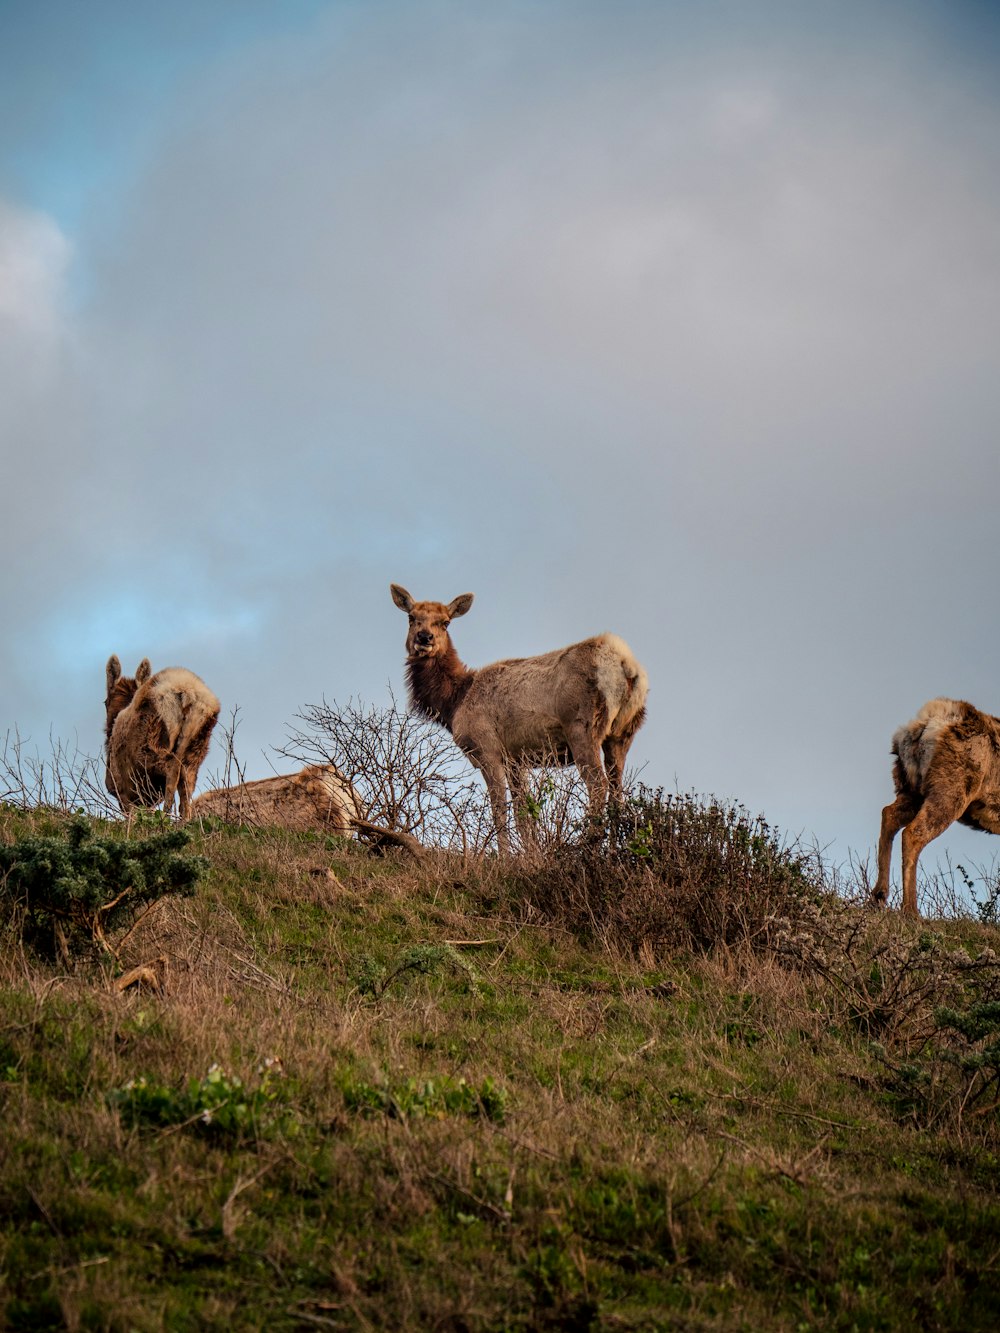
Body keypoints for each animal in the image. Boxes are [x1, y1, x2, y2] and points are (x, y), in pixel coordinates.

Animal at [104, 655, 220, 821]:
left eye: (105, 702)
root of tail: (188, 694)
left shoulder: (122, 790)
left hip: (152, 745)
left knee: (171, 773)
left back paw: (165, 817)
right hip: (196, 752)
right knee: (186, 793)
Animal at [392, 583, 650, 853]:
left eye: (445, 622)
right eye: (412, 617)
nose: (424, 637)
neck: (454, 703)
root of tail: (626, 666)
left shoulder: (487, 748)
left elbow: (499, 811)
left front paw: (503, 856)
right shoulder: (516, 760)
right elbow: (523, 816)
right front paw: (531, 854)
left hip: (582, 727)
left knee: (598, 785)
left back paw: (588, 846)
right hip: (622, 734)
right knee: (617, 791)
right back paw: (612, 851)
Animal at [869, 698, 1000, 917]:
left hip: (912, 790)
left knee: (889, 815)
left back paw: (878, 896)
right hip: (950, 792)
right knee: (912, 833)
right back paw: (911, 911)